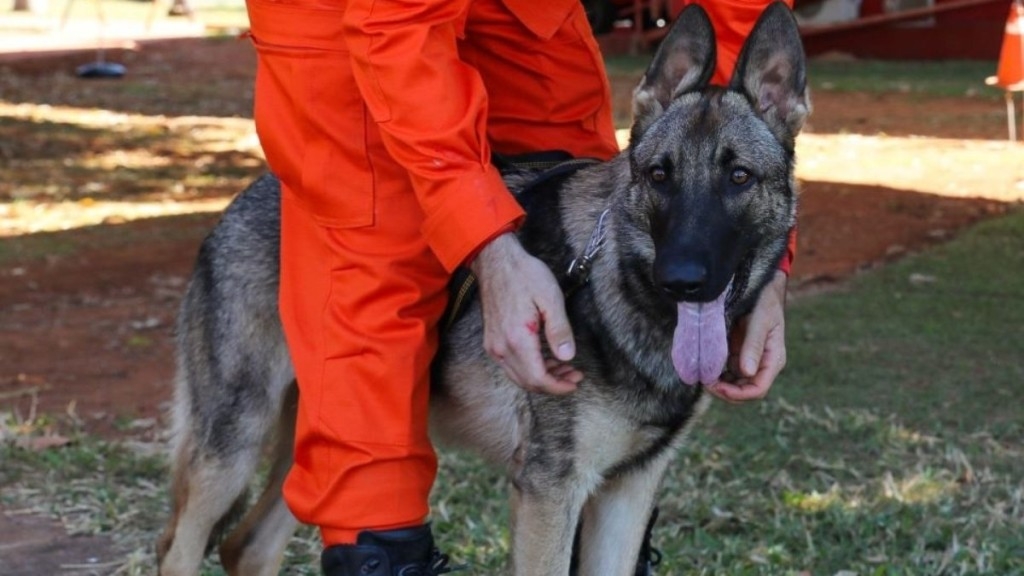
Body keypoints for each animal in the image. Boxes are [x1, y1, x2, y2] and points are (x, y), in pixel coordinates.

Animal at [155, 3, 806, 569]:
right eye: (659, 175)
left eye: (739, 177)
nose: (683, 281)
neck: (618, 285)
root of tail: (244, 198)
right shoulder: (550, 493)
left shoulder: (627, 495)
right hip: (234, 443)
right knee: (181, 549)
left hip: (314, 449)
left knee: (248, 545)